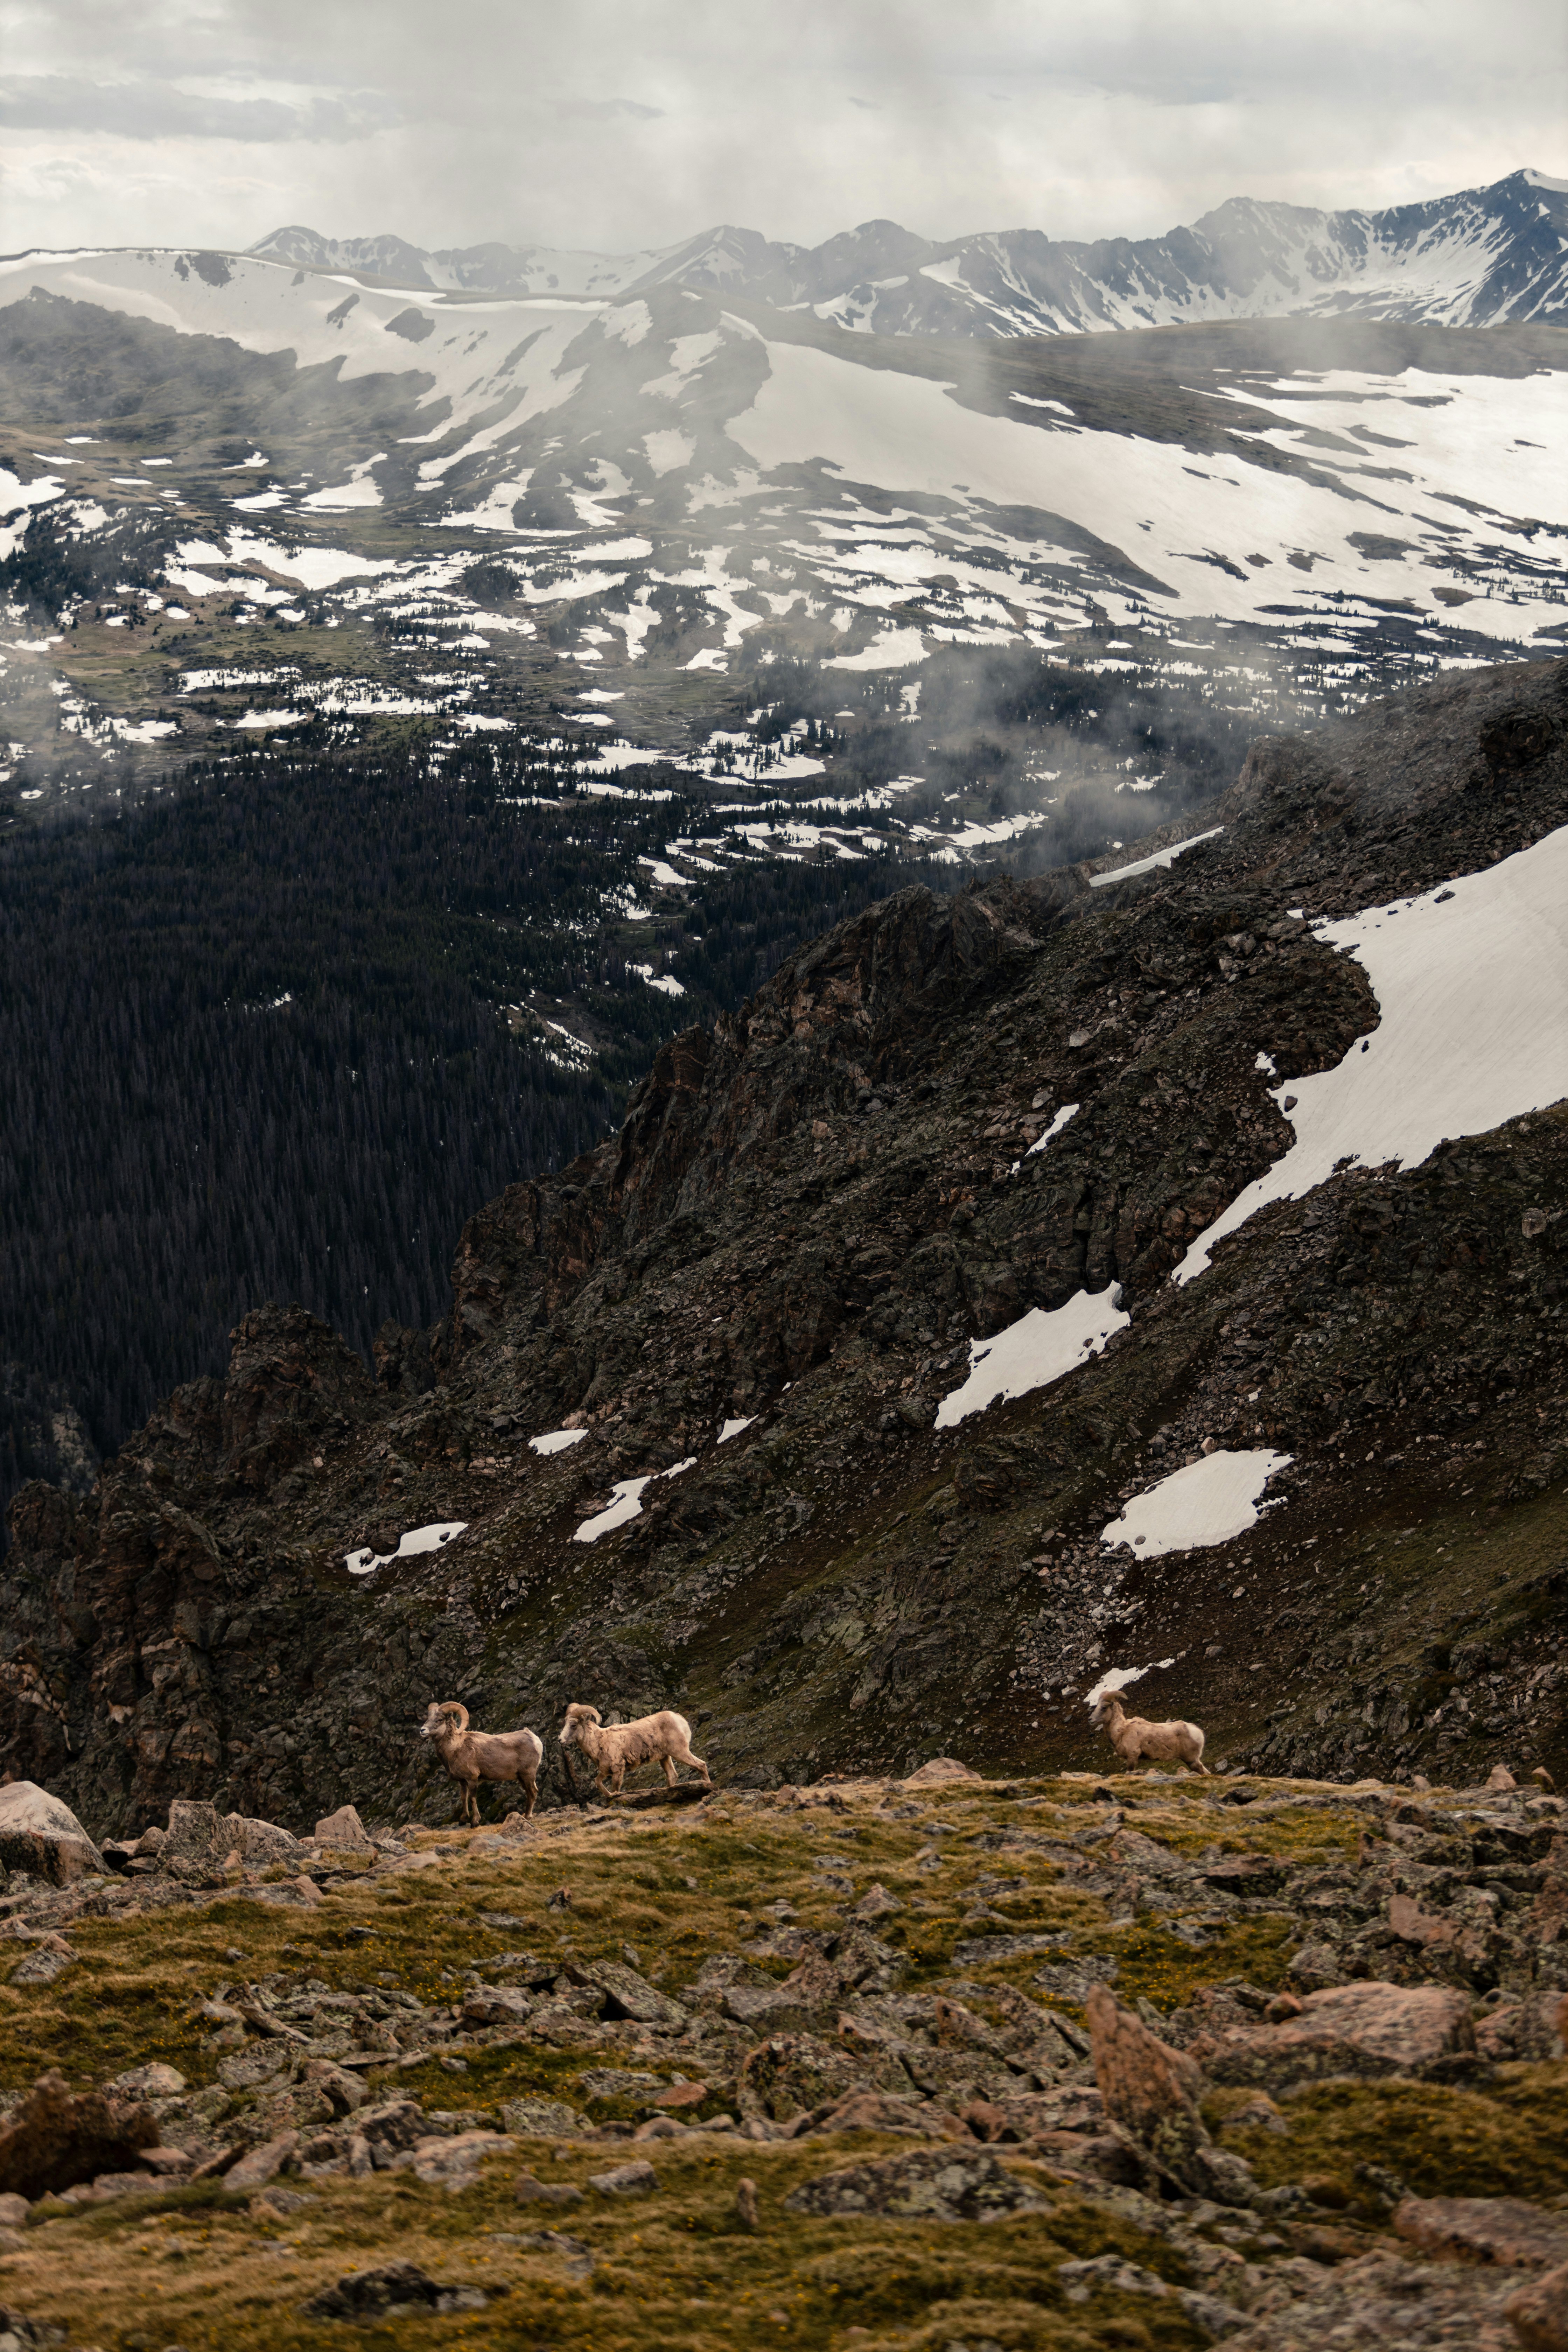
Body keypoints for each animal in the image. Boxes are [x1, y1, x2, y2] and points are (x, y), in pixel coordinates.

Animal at [421, 1703, 543, 1825]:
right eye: (428, 1718)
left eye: (440, 1720)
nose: (423, 1730)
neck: (456, 1748)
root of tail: (535, 1740)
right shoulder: (463, 1782)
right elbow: (464, 1798)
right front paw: (463, 1820)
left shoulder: (472, 1779)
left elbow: (472, 1798)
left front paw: (475, 1821)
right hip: (522, 1778)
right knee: (530, 1793)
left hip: (528, 1775)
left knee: (533, 1793)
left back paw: (527, 1816)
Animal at [557, 1712, 710, 1797]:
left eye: (574, 1726)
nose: (560, 1740)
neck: (600, 1741)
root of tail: (680, 1719)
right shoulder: (605, 1771)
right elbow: (598, 1782)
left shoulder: (618, 1771)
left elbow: (616, 1789)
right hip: (665, 1758)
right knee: (673, 1776)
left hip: (680, 1752)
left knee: (701, 1765)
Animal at [1091, 1684, 1213, 1769]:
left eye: (1104, 1708)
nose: (1090, 1720)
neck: (1121, 1732)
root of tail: (1197, 1731)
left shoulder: (1132, 1758)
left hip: (1192, 1761)